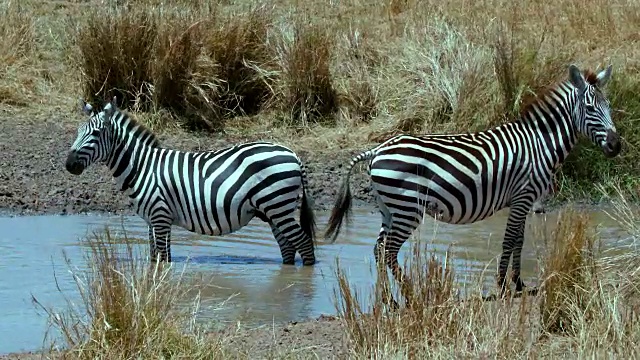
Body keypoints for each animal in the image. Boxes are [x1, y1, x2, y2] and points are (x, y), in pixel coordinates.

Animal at [65, 97, 318, 266]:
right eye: (78, 131)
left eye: (96, 134)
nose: (69, 164)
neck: (141, 167)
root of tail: (293, 154)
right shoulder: (150, 220)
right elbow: (154, 258)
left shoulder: (160, 216)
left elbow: (163, 258)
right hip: (274, 211)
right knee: (288, 248)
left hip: (278, 205)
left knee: (304, 245)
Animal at [324, 64, 620, 304]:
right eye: (591, 109)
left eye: (609, 106)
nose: (616, 146)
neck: (538, 143)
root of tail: (378, 150)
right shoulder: (523, 196)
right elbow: (509, 240)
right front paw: (502, 286)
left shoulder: (523, 201)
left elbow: (519, 240)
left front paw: (519, 284)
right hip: (408, 208)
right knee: (389, 251)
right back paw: (409, 297)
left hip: (389, 208)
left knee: (378, 249)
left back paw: (389, 300)